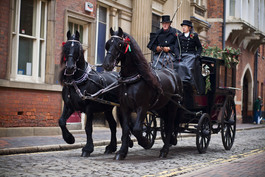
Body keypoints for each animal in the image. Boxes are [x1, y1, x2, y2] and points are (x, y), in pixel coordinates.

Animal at [102, 27, 182, 159]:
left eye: (120, 44)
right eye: (108, 44)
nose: (106, 64)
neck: (132, 79)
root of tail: (173, 73)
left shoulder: (142, 107)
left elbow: (137, 129)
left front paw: (145, 141)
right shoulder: (124, 107)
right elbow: (126, 129)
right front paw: (122, 152)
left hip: (173, 106)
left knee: (170, 126)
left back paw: (164, 150)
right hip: (162, 107)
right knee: (166, 126)